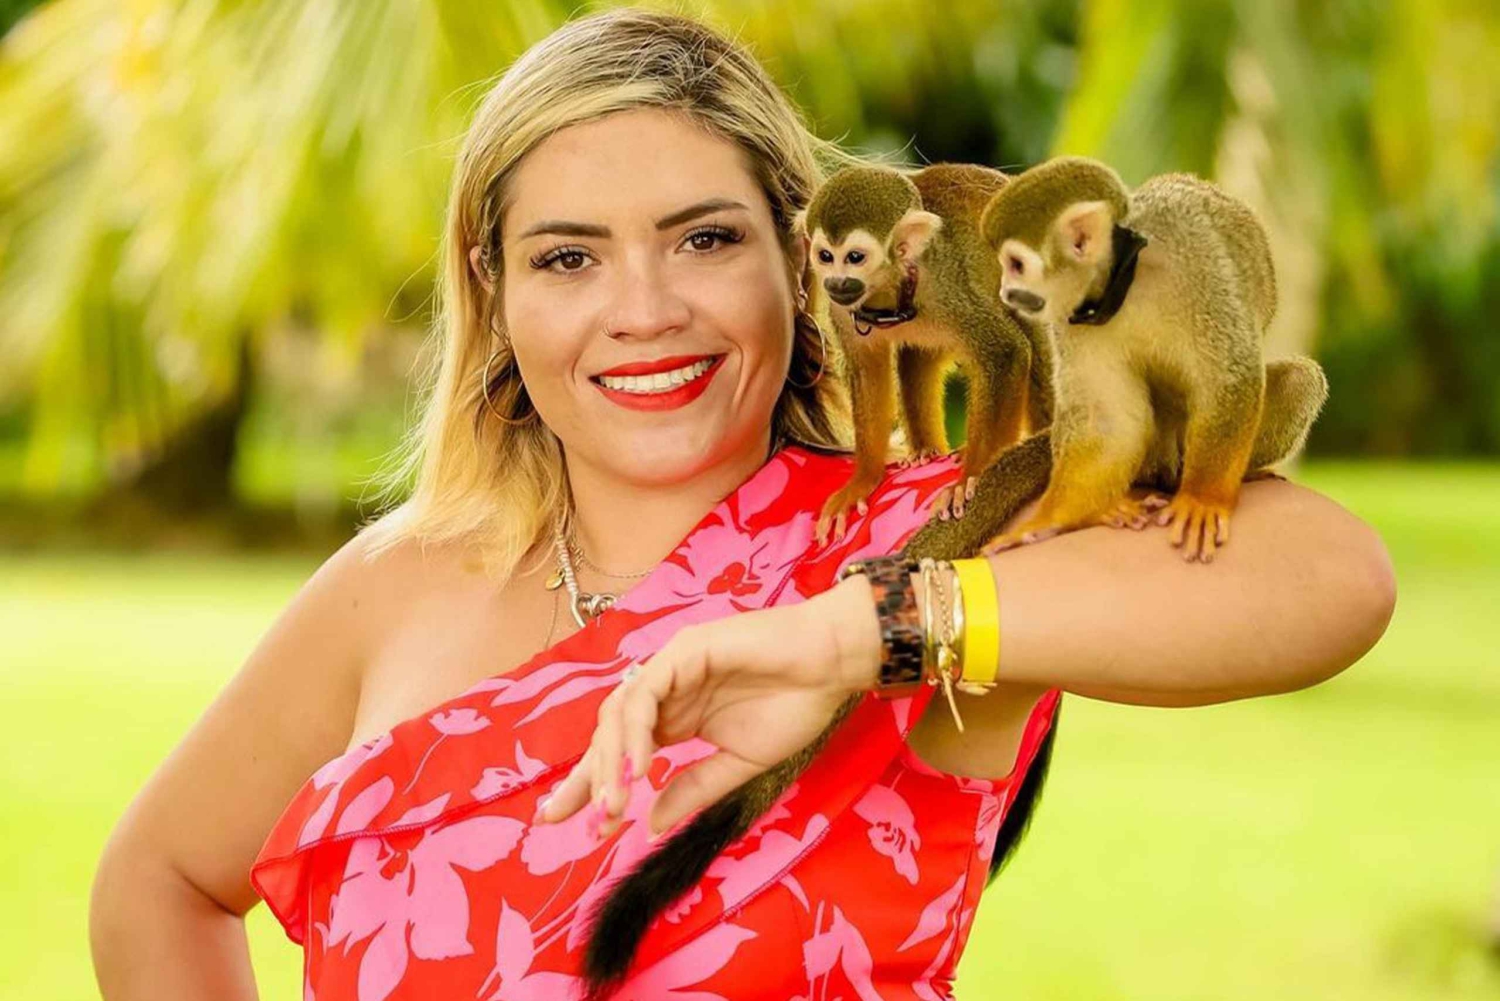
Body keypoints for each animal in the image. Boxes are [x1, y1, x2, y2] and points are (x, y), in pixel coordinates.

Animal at [793, 163, 1055, 542]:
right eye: (826, 256)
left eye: (855, 258)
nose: (836, 282)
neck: (891, 286)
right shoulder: (843, 311)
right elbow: (867, 371)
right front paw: (863, 479)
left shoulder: (947, 287)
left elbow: (1006, 352)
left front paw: (972, 477)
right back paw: (924, 452)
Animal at [976, 155, 1328, 562]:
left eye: (1015, 265)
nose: (1005, 292)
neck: (1126, 279)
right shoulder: (1073, 315)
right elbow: (1107, 420)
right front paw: (1046, 522)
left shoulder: (1195, 262)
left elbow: (1229, 377)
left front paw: (1203, 500)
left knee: (1300, 379)